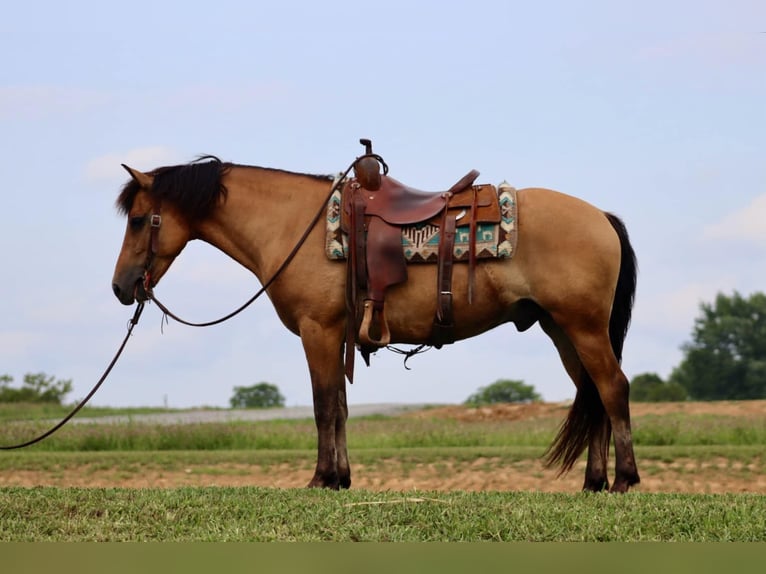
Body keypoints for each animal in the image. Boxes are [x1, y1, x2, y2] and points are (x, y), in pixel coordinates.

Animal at [111, 154, 640, 493]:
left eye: (137, 219)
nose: (121, 287)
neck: (294, 226)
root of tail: (601, 216)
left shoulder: (318, 330)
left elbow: (324, 406)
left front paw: (321, 478)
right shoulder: (336, 336)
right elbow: (342, 408)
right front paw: (342, 478)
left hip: (584, 327)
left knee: (613, 388)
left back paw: (624, 480)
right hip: (562, 330)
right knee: (592, 392)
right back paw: (593, 481)